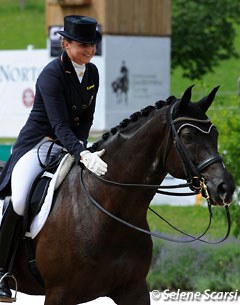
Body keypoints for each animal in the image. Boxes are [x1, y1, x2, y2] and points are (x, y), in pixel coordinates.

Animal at [0, 85, 236, 302]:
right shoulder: (59, 293)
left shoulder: (133, 289)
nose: (225, 187)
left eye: (215, 134)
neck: (108, 211)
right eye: (187, 135)